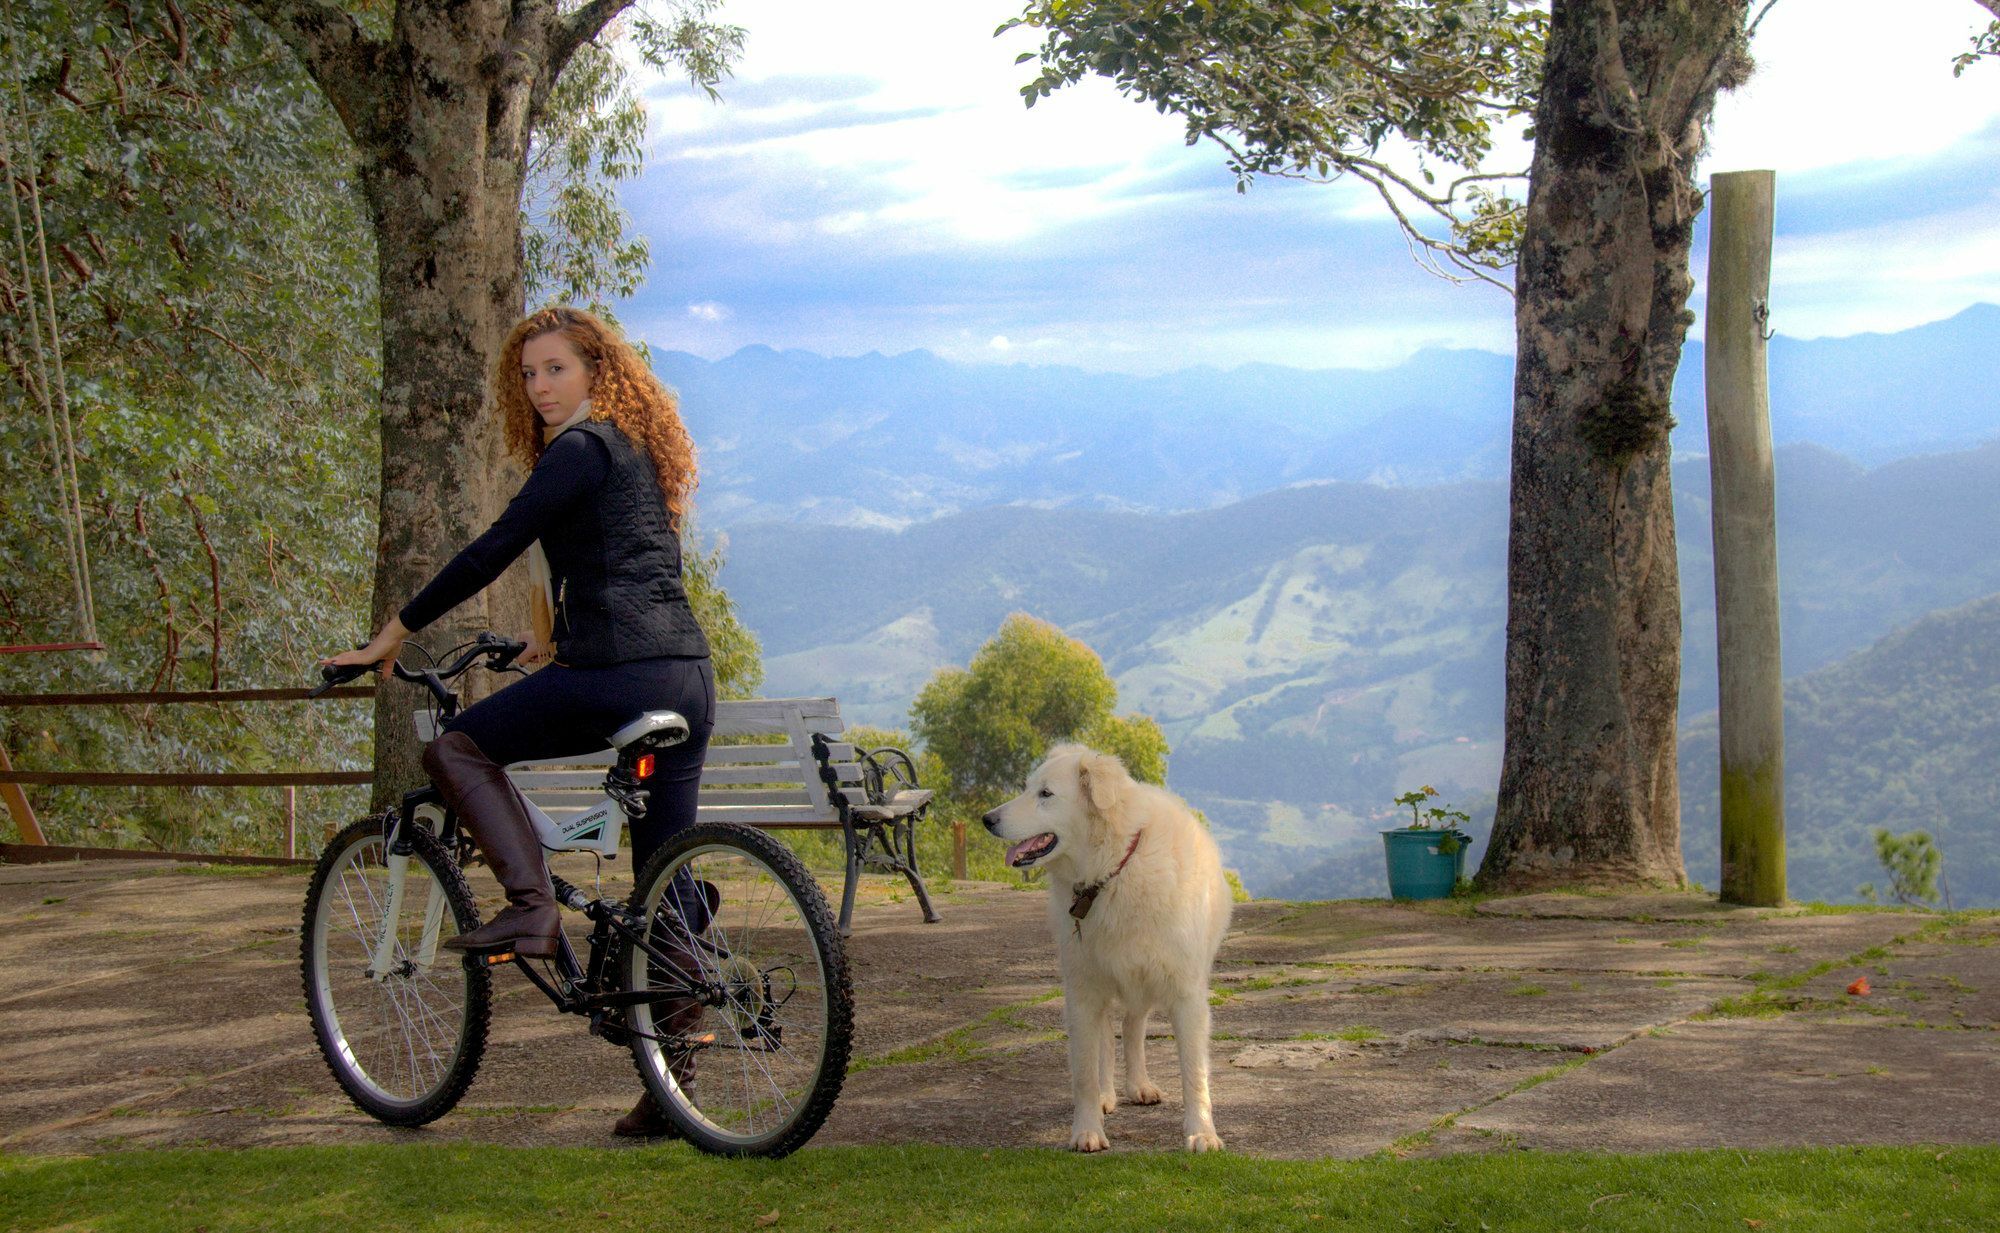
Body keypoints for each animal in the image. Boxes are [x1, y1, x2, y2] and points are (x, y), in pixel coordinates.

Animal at [976, 740, 1224, 1152]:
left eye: (1046, 794)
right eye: (1027, 788)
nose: (987, 819)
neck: (1113, 870)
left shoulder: (1185, 994)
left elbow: (1194, 1072)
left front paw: (1201, 1132)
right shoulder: (1082, 992)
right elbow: (1085, 1074)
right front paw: (1088, 1130)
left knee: (1133, 1025)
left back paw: (1139, 1085)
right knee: (1108, 1037)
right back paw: (1110, 1094)